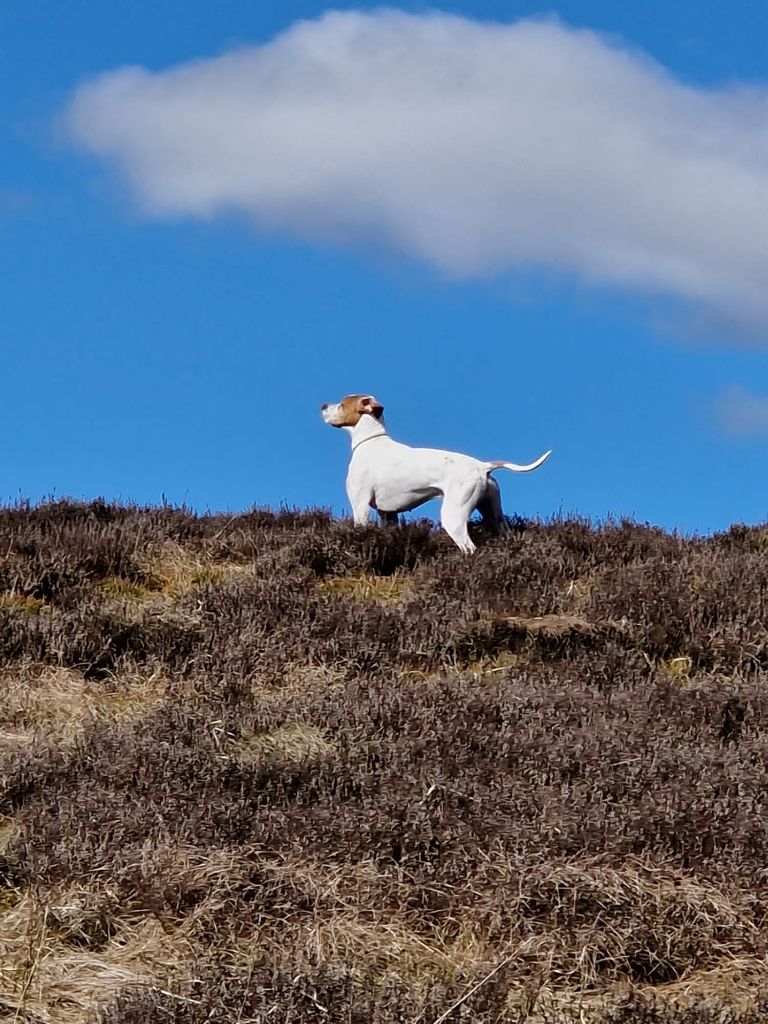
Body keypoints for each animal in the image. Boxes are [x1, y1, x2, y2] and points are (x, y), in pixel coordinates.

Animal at [319, 391, 552, 552]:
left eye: (341, 405)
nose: (323, 405)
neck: (371, 441)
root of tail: (482, 466)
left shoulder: (360, 506)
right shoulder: (388, 514)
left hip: (454, 515)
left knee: (469, 547)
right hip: (494, 514)